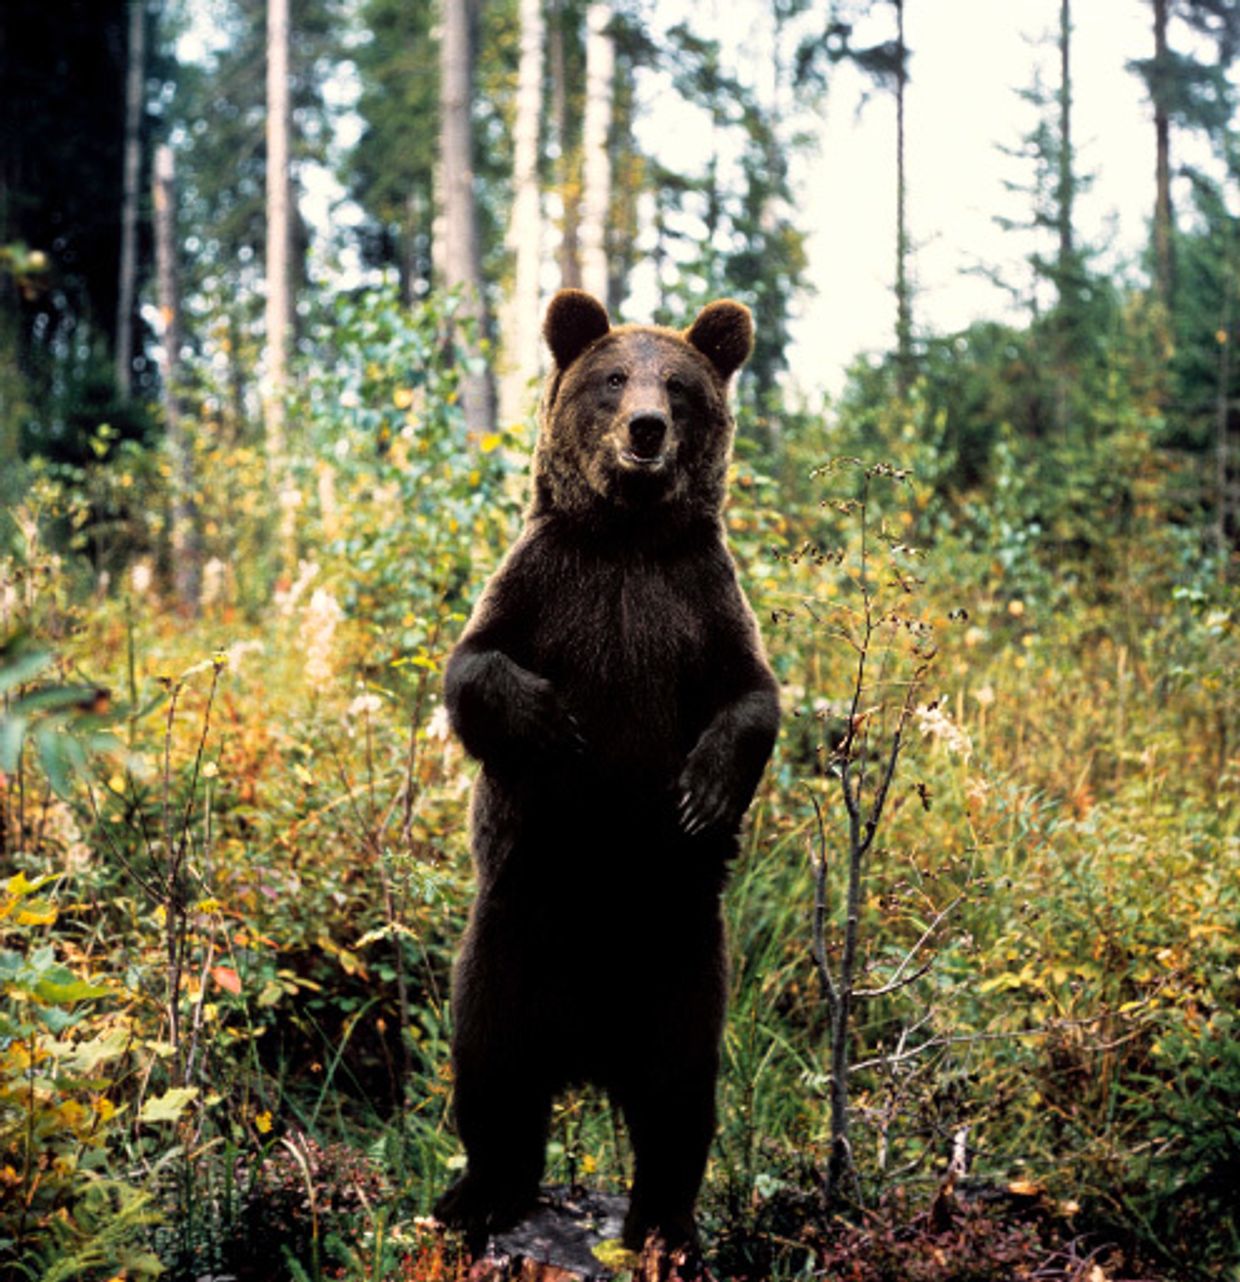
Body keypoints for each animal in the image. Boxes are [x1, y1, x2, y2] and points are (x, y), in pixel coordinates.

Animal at [433, 288, 780, 1255]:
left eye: (680, 386)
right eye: (614, 378)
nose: (647, 428)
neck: (626, 538)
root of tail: (587, 1052)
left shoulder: (699, 601)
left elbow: (753, 697)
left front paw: (702, 792)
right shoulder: (545, 584)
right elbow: (473, 672)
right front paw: (555, 730)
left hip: (679, 961)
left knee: (678, 1094)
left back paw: (663, 1219)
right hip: (511, 938)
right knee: (492, 1063)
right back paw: (481, 1193)